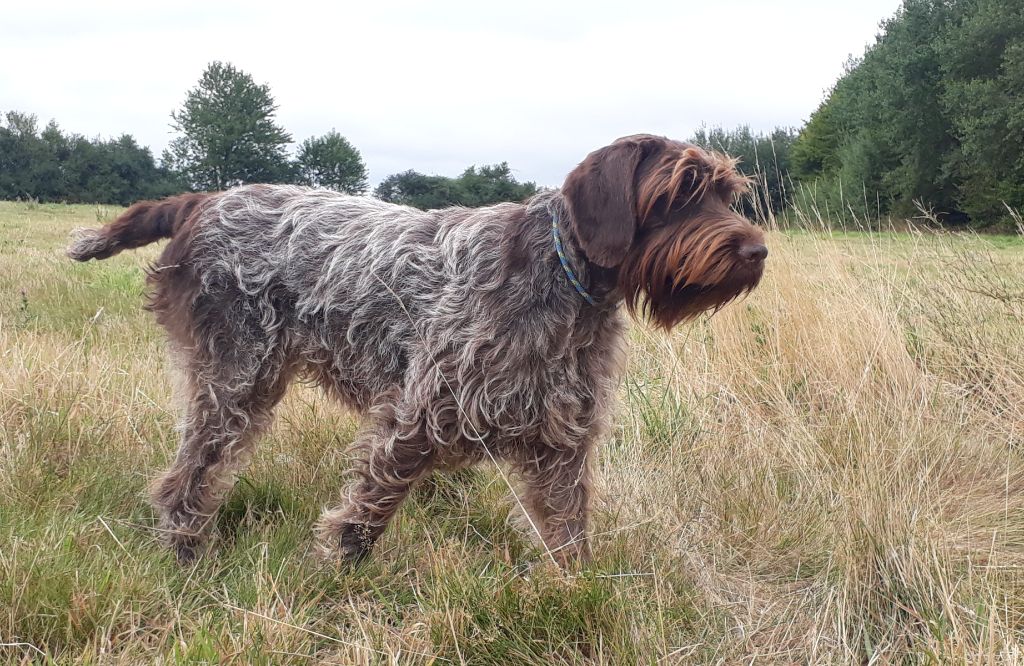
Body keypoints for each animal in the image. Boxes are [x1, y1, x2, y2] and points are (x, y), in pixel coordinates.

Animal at [66, 133, 770, 565]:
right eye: (677, 194)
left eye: (724, 193)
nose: (757, 250)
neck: (564, 283)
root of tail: (205, 199)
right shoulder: (416, 416)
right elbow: (367, 510)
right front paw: (334, 575)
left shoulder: (559, 440)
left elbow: (569, 534)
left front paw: (577, 590)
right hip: (235, 379)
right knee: (186, 479)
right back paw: (186, 553)